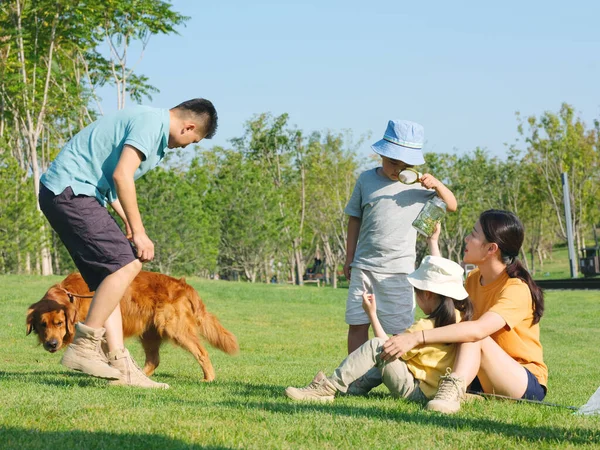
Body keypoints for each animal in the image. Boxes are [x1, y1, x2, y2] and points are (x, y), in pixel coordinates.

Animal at [25, 270, 238, 380]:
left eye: (59, 323)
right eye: (42, 324)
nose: (51, 344)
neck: (72, 296)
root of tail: (184, 285)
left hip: (175, 328)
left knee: (202, 352)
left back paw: (208, 377)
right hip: (150, 333)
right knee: (153, 360)